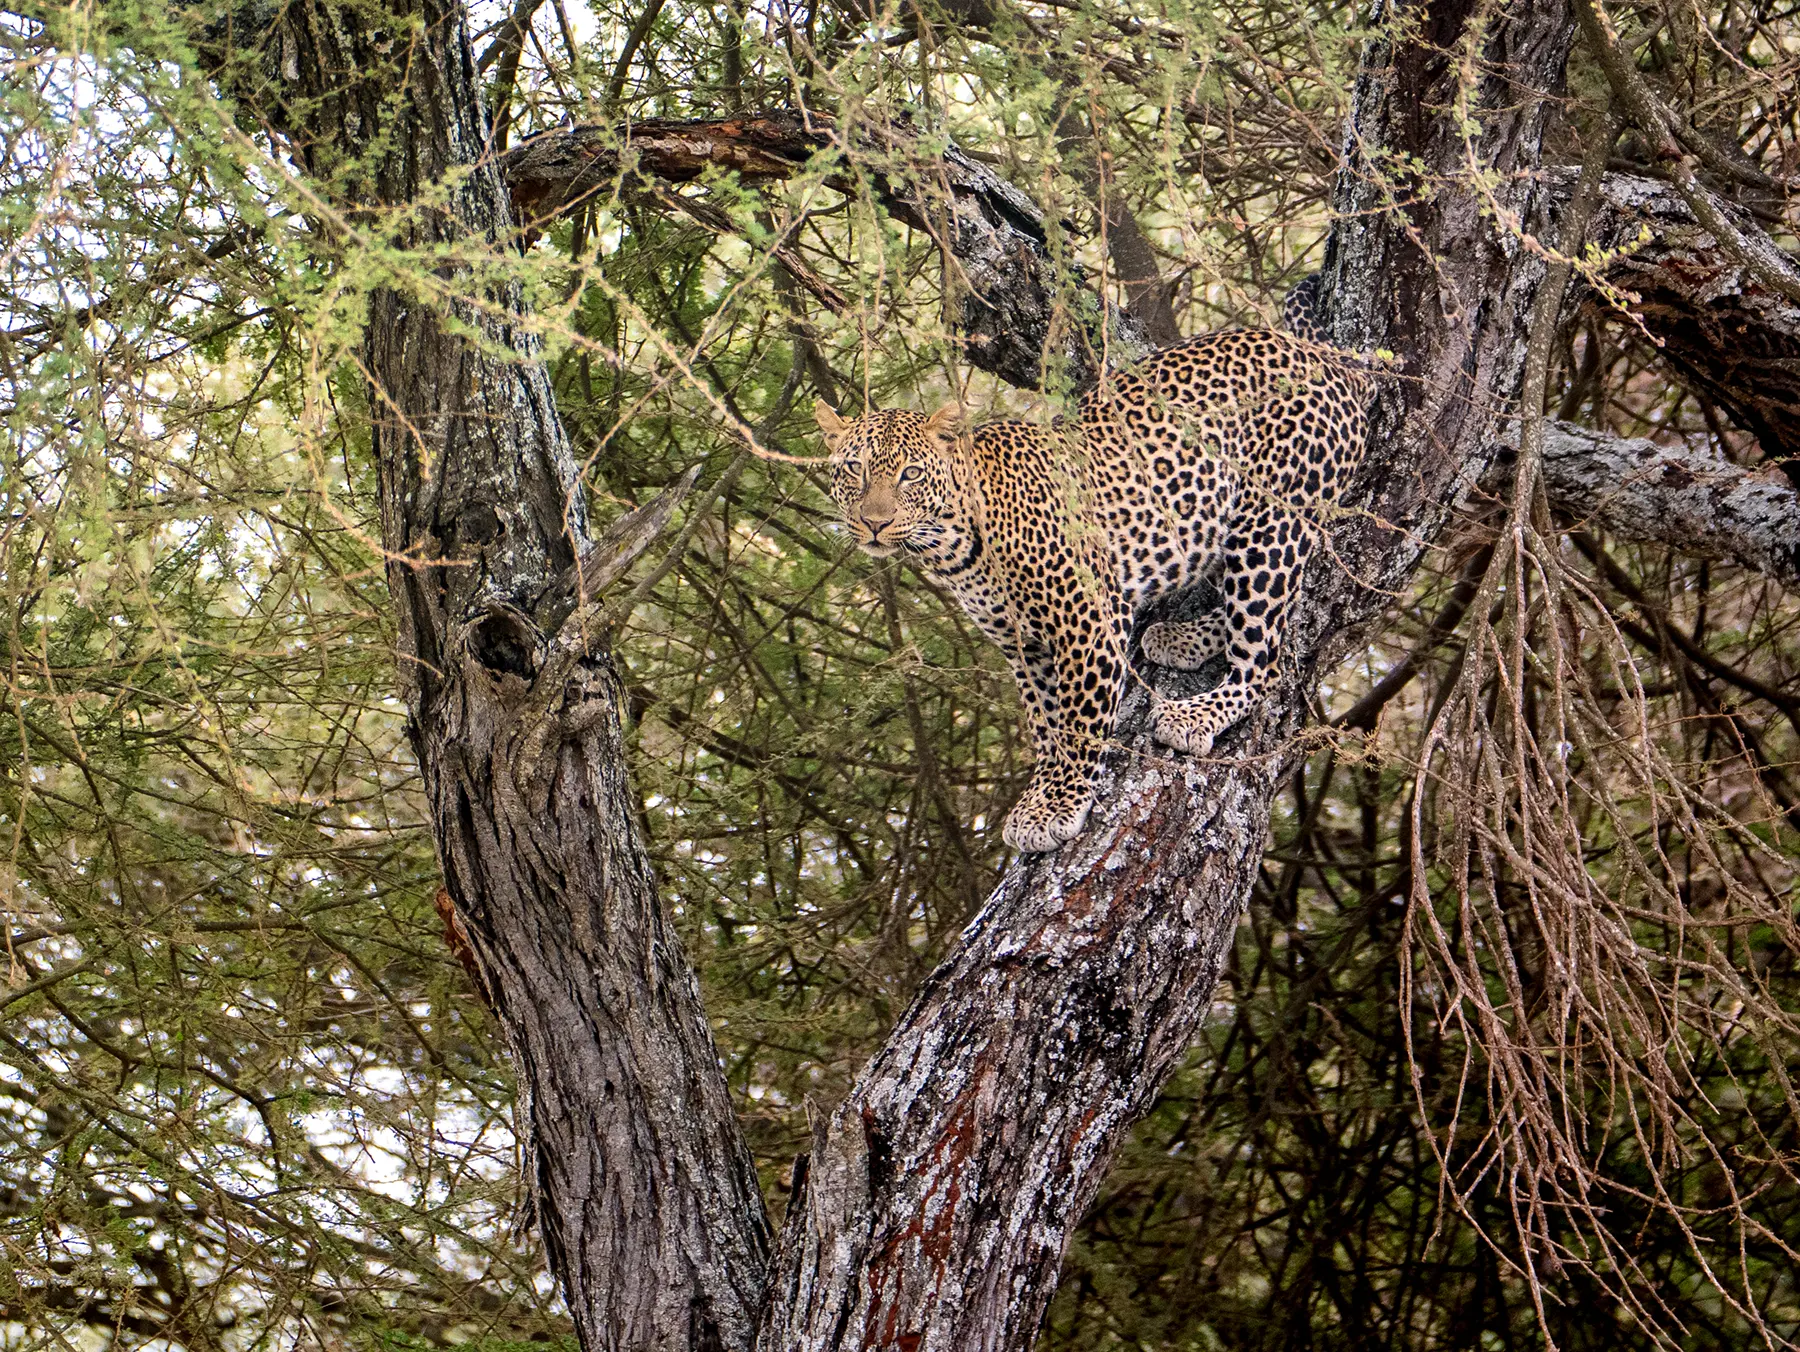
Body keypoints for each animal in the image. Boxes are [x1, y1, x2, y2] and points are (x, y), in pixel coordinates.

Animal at [816, 328, 1369, 854]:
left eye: (910, 473)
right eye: (853, 470)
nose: (874, 522)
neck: (952, 546)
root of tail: (1318, 354)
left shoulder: (1088, 622)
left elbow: (1079, 723)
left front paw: (1059, 806)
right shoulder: (1022, 645)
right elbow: (1045, 726)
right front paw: (1037, 799)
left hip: (1273, 521)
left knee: (1265, 658)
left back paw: (1194, 713)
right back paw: (1182, 639)